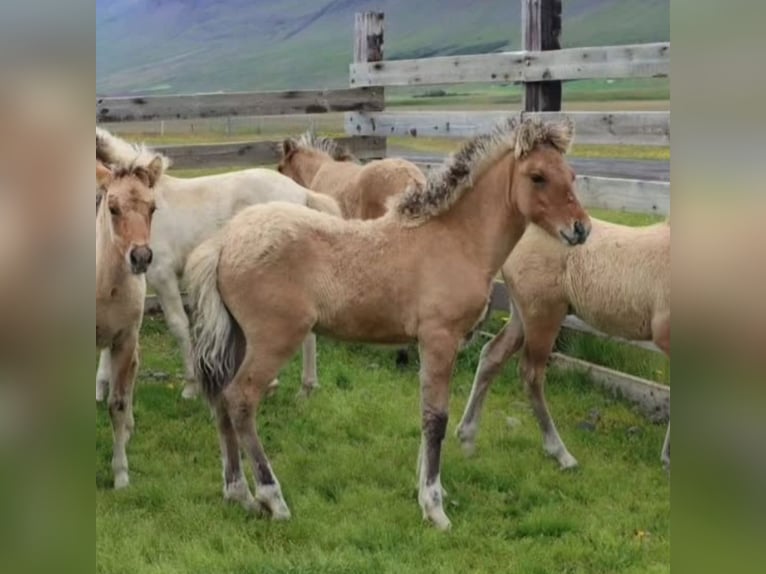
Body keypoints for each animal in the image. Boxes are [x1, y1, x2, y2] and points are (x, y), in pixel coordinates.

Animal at [94, 128, 341, 401]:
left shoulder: (161, 274)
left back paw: (303, 388)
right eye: (113, 207)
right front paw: (102, 387)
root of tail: (302, 193)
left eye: (151, 208)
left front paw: (191, 387)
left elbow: (179, 325)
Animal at [185, 116, 590, 529]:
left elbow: (426, 413)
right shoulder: (440, 338)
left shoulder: (432, 343)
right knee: (240, 400)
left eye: (572, 175)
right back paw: (272, 498)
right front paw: (434, 507)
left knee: (221, 398)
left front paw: (430, 492)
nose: (581, 228)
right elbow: (436, 418)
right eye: (537, 176)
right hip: (274, 339)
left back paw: (239, 493)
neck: (456, 239)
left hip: (237, 338)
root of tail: (224, 242)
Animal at [456, 218, 670, 469]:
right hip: (544, 315)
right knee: (531, 374)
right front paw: (669, 460)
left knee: (492, 355)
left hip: (521, 315)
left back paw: (467, 436)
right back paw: (561, 453)